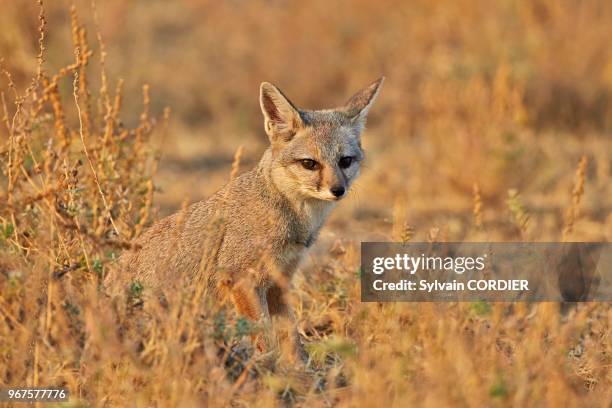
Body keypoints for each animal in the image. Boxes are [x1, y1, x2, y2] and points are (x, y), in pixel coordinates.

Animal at [110, 76, 382, 360]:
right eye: (310, 164)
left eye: (345, 161)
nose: (338, 190)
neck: (289, 212)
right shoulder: (241, 281)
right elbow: (263, 337)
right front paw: (270, 367)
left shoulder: (279, 283)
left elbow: (291, 338)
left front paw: (298, 369)